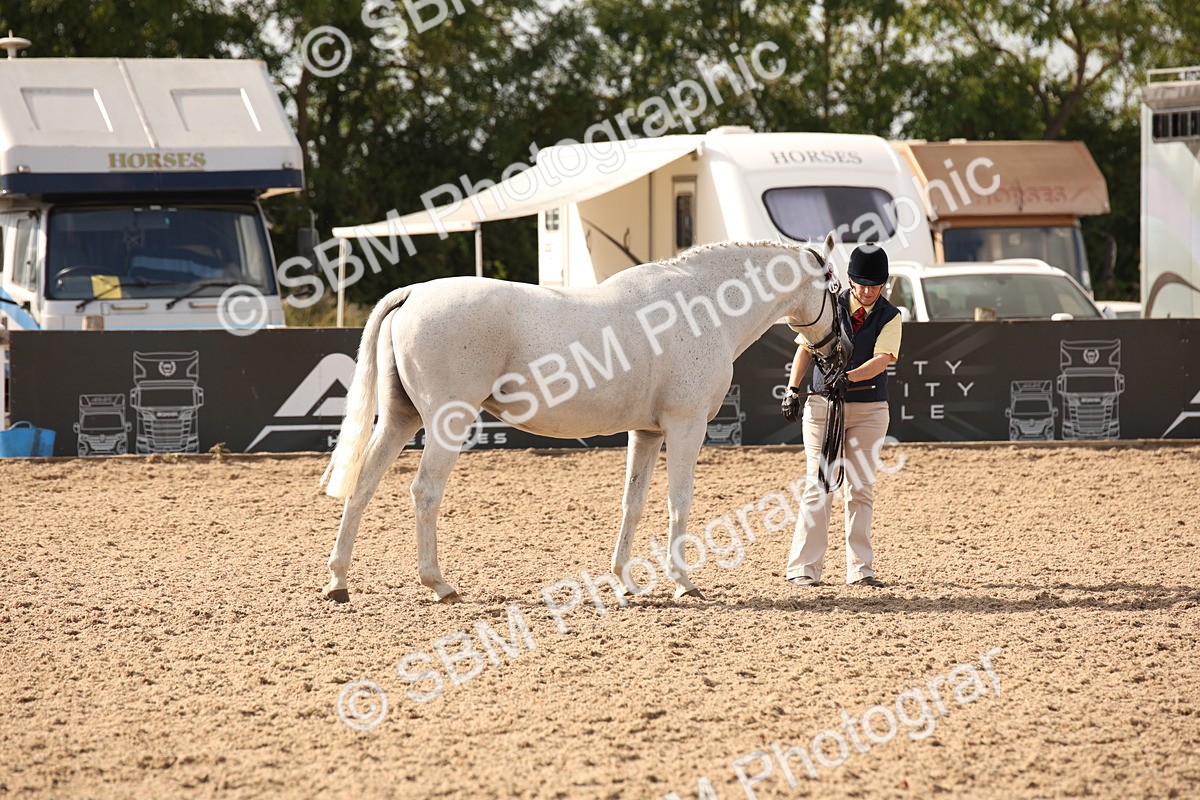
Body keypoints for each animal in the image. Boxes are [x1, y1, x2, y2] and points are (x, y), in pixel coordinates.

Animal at [319, 237, 845, 603]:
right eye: (836, 288)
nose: (840, 350)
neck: (700, 306)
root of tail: (412, 294)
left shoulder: (647, 432)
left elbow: (633, 503)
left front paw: (625, 582)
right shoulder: (686, 426)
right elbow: (679, 502)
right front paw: (683, 582)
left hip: (400, 419)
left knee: (363, 485)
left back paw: (339, 581)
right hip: (447, 424)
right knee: (425, 492)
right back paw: (439, 584)